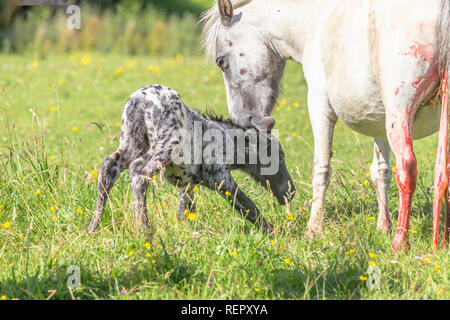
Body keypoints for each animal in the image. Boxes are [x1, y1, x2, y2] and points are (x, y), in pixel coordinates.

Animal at [201, 0, 450, 250]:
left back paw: (401, 243)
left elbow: (321, 169)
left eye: (221, 61)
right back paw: (440, 240)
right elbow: (381, 172)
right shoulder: (380, 119)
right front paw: (383, 227)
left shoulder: (320, 104)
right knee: (442, 170)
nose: (239, 118)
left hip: (400, 111)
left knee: (407, 167)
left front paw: (313, 230)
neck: (315, 20)